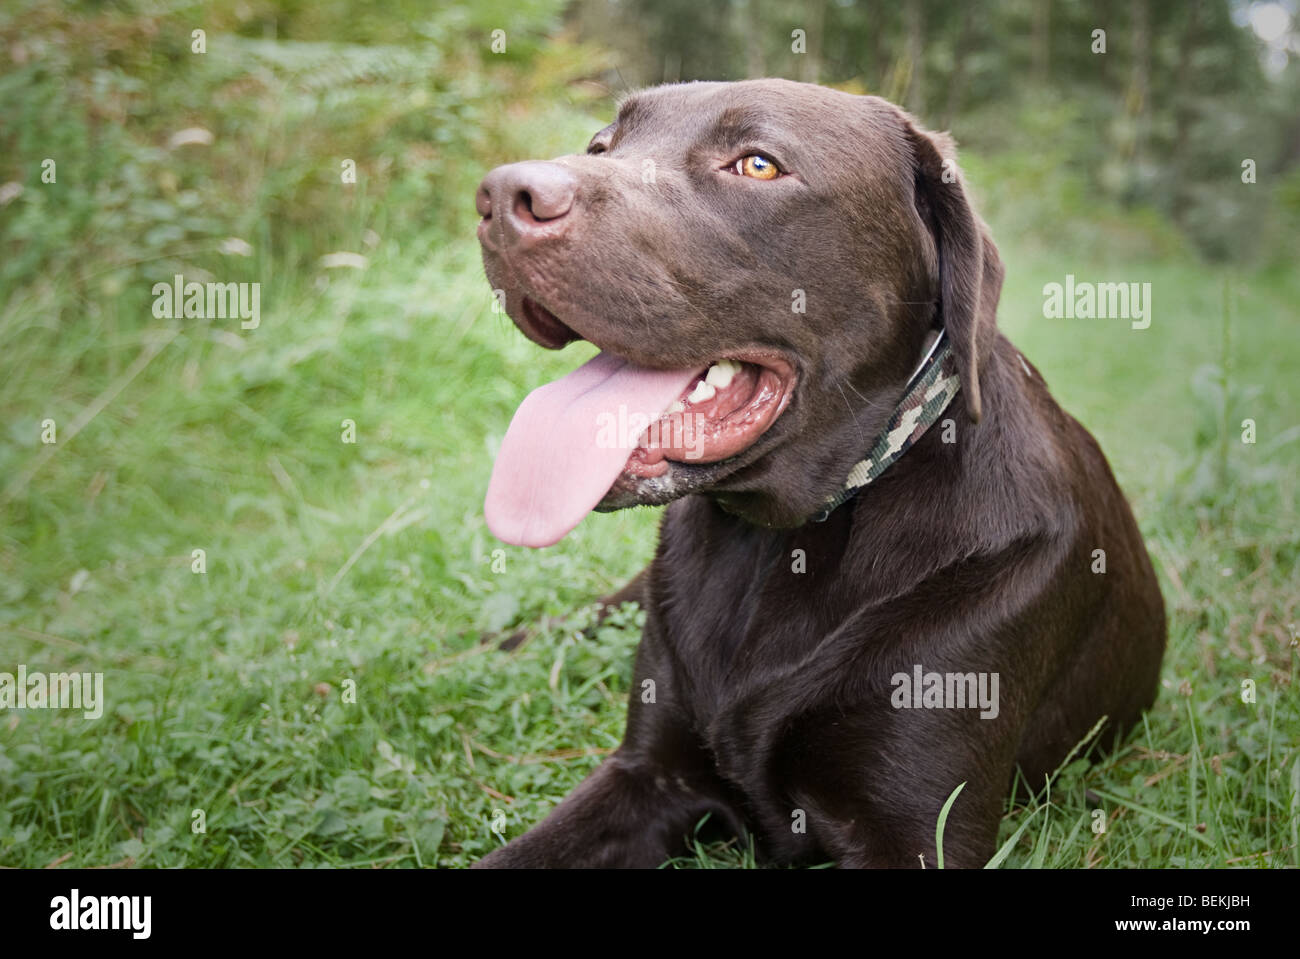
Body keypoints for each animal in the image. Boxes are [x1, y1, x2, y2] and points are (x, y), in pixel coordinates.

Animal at [470, 80, 1170, 868]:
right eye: (600, 145)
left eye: (758, 164)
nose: (501, 196)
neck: (778, 542)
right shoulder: (648, 772)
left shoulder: (919, 834)